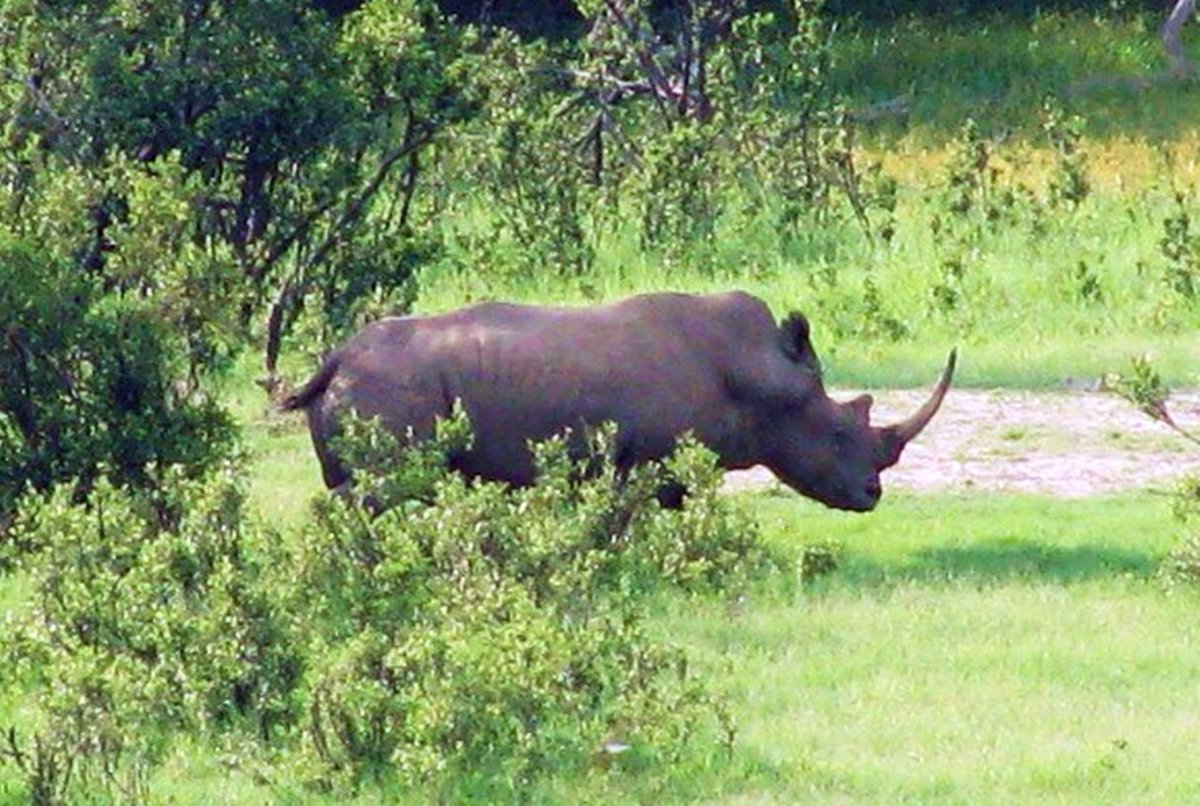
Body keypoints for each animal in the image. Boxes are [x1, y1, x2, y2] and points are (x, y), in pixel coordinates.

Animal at [281, 290, 955, 512]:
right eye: (840, 435)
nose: (872, 495)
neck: (760, 375)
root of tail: (336, 359)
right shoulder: (649, 461)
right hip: (389, 390)